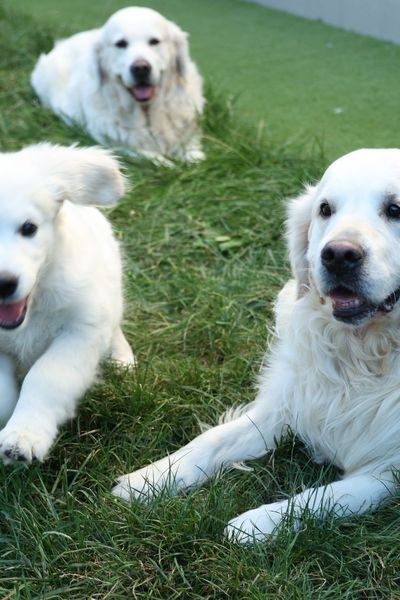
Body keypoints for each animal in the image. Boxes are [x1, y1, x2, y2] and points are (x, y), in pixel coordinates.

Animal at [0, 143, 135, 466]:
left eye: (29, 228)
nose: (3, 284)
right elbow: (2, 392)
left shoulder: (81, 331)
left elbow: (47, 378)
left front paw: (25, 434)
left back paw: (122, 360)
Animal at [30, 5, 205, 164]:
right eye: (121, 44)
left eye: (154, 42)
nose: (141, 68)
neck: (146, 112)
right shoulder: (113, 144)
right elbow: (150, 156)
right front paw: (168, 163)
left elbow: (193, 150)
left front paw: (192, 158)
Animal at [112, 150, 400, 544]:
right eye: (325, 209)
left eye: (395, 208)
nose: (338, 255)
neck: (363, 355)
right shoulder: (283, 406)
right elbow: (212, 439)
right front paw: (149, 478)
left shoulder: (388, 471)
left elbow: (330, 496)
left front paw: (257, 523)